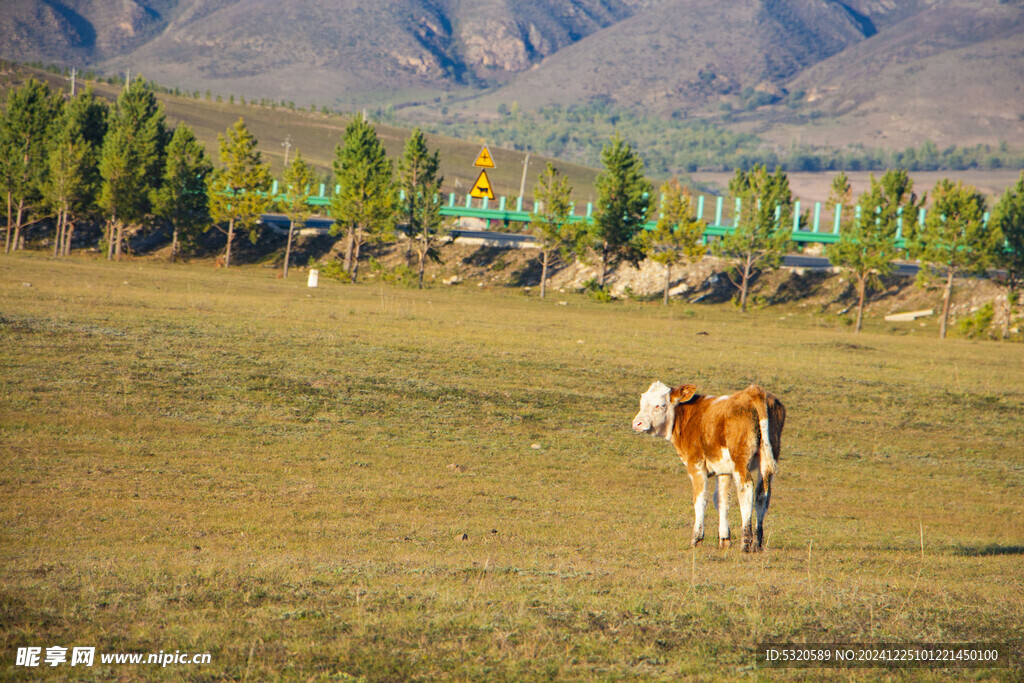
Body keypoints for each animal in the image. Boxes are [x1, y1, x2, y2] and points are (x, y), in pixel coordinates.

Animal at [630, 382, 782, 552]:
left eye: (660, 405)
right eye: (642, 403)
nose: (637, 424)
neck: (688, 417)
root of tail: (753, 391)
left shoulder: (696, 465)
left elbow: (700, 499)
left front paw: (696, 538)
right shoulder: (723, 469)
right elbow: (722, 500)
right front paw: (724, 539)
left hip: (740, 460)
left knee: (746, 490)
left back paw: (745, 542)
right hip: (767, 459)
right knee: (763, 496)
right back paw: (757, 543)